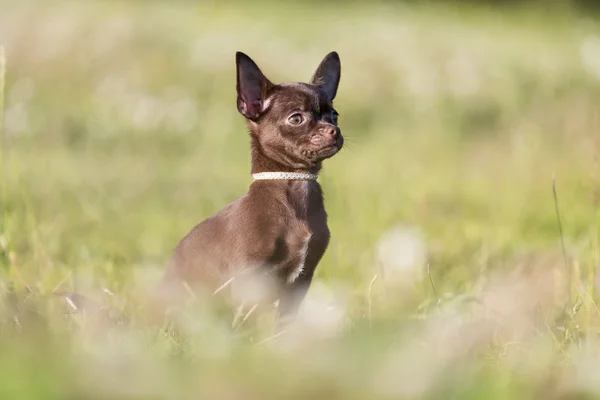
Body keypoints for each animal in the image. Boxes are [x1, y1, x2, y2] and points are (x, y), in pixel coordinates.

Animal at [156, 50, 342, 328]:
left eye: (335, 115)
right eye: (296, 118)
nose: (334, 130)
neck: (294, 187)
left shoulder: (302, 279)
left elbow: (284, 323)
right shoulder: (249, 280)